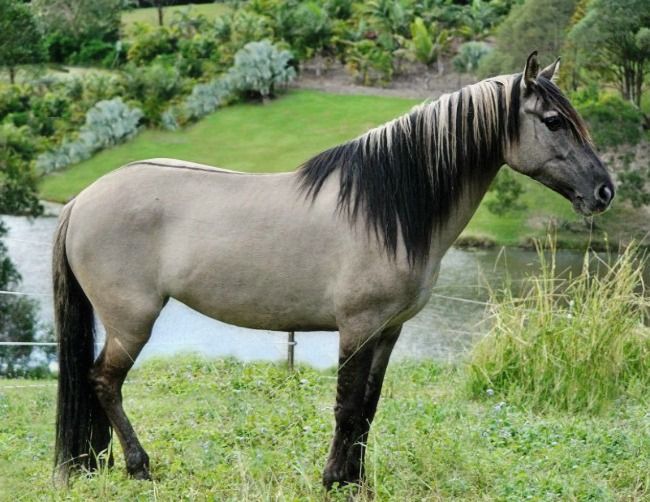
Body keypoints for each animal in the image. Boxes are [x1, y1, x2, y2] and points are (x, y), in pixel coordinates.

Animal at [52, 53, 612, 488]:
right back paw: (138, 467)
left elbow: (367, 409)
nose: (605, 191)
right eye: (554, 121)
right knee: (104, 382)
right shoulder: (357, 328)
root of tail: (81, 200)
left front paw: (356, 480)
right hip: (132, 322)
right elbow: (345, 407)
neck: (387, 208)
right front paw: (333, 479)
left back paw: (96, 463)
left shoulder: (387, 331)